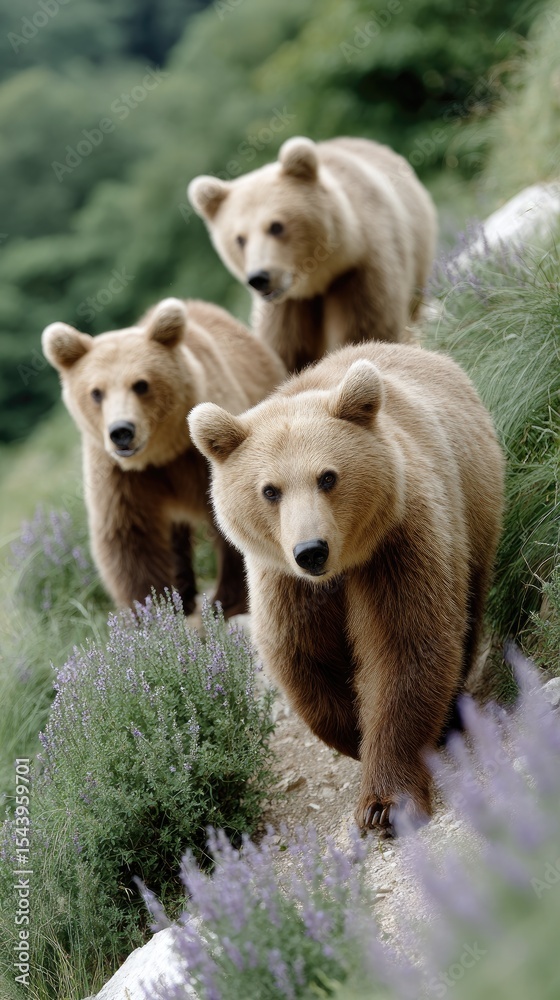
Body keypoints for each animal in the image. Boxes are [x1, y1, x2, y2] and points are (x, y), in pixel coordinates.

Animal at [42, 297, 286, 616]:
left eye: (141, 384)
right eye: (96, 392)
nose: (121, 431)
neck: (161, 453)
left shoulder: (203, 456)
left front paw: (227, 600)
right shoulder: (120, 476)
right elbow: (130, 536)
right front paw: (153, 609)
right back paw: (184, 590)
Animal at [188, 135, 437, 372]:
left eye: (276, 226)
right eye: (239, 239)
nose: (259, 278)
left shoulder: (360, 271)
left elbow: (366, 330)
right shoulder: (287, 305)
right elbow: (286, 349)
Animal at [188, 342, 505, 835]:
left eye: (328, 477)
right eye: (270, 490)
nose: (311, 550)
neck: (340, 571)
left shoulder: (396, 546)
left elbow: (405, 646)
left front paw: (385, 803)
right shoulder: (284, 582)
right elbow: (304, 657)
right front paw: (355, 735)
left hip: (473, 508)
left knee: (466, 608)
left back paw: (453, 714)